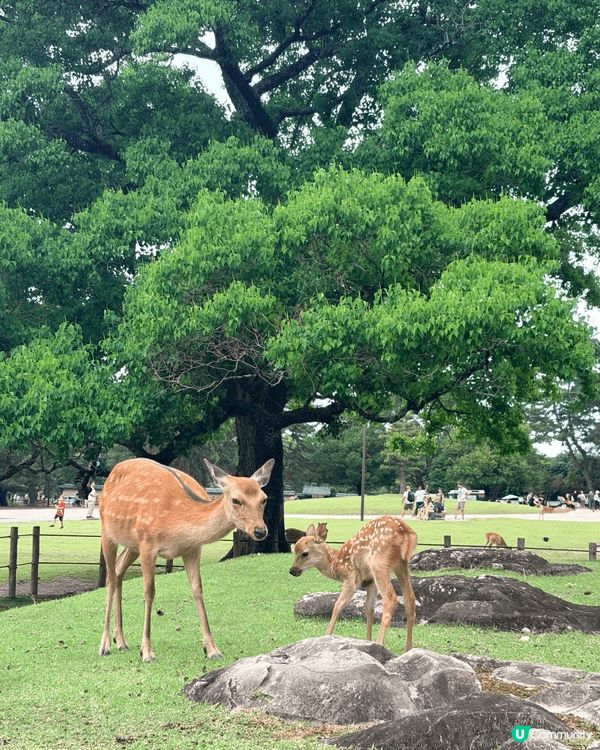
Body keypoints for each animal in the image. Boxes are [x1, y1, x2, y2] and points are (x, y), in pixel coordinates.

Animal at [98, 456, 274, 662]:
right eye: (236, 500)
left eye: (264, 499)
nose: (260, 531)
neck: (176, 522)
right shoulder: (147, 543)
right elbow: (149, 592)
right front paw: (147, 652)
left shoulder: (192, 549)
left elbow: (197, 590)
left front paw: (212, 649)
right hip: (107, 531)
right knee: (110, 578)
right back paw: (105, 645)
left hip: (132, 544)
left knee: (118, 571)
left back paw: (121, 641)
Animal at [289, 516, 417, 652]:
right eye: (294, 551)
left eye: (305, 553)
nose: (292, 570)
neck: (335, 564)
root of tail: (406, 531)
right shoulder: (370, 581)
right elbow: (369, 608)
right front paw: (368, 640)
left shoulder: (351, 578)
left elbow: (338, 605)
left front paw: (326, 635)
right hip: (401, 565)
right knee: (410, 599)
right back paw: (408, 648)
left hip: (379, 563)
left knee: (390, 598)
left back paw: (381, 643)